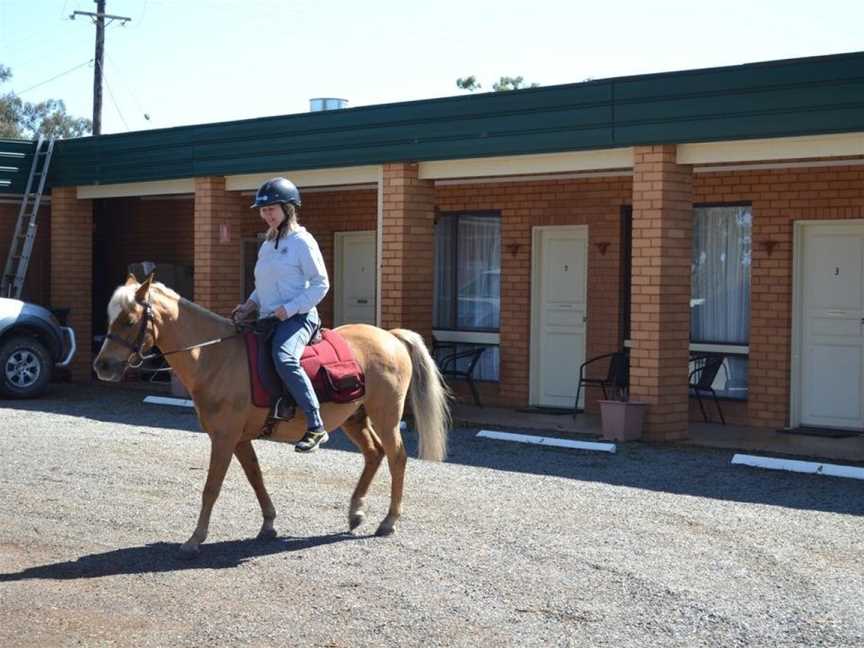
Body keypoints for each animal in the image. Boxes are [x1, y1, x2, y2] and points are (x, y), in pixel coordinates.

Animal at [93, 274, 452, 556]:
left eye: (128, 321)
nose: (103, 366)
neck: (215, 357)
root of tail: (391, 337)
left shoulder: (223, 438)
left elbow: (212, 487)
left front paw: (195, 540)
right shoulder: (238, 439)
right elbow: (256, 477)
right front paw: (268, 524)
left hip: (385, 415)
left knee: (396, 457)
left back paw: (388, 521)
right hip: (355, 417)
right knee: (374, 454)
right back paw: (356, 512)